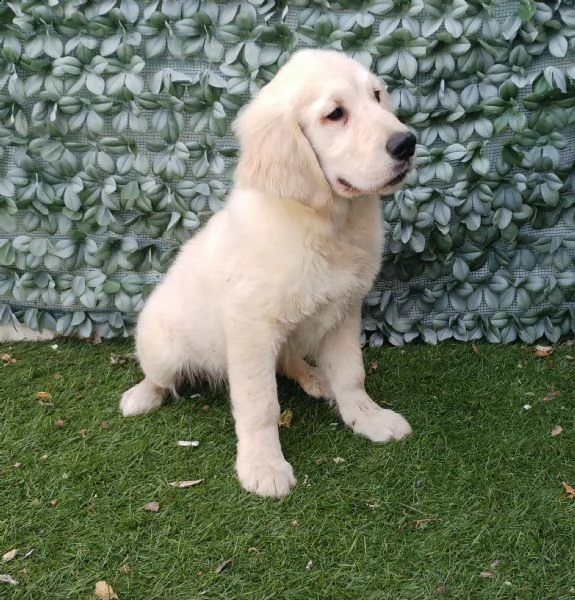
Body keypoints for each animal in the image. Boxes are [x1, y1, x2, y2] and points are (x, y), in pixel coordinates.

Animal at [122, 48, 418, 496]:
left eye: (377, 96)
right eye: (335, 114)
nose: (407, 142)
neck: (325, 225)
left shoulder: (344, 311)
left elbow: (351, 374)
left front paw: (368, 418)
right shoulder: (251, 328)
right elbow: (259, 404)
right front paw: (262, 465)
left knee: (289, 360)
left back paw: (315, 378)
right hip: (163, 346)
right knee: (160, 377)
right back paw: (142, 396)